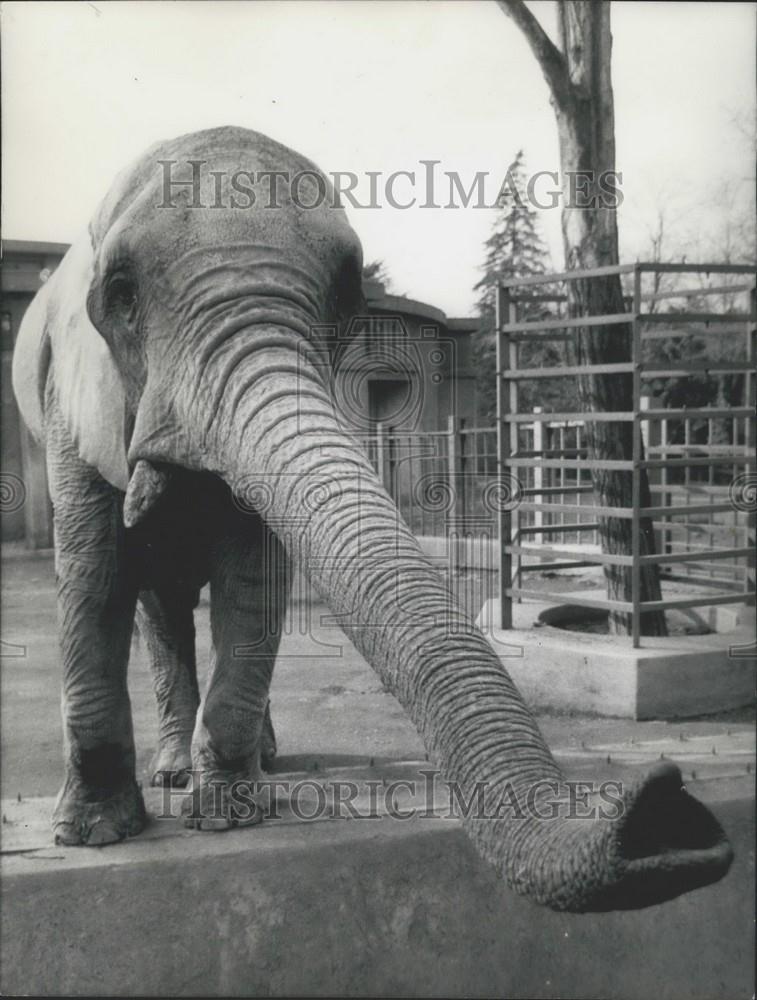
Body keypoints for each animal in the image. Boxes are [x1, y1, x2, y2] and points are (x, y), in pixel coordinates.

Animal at [11, 127, 732, 916]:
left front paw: (228, 818)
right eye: (121, 296)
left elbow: (252, 578)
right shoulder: (73, 402)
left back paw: (260, 763)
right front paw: (94, 837)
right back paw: (172, 771)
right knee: (158, 605)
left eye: (345, 299)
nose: (671, 807)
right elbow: (94, 575)